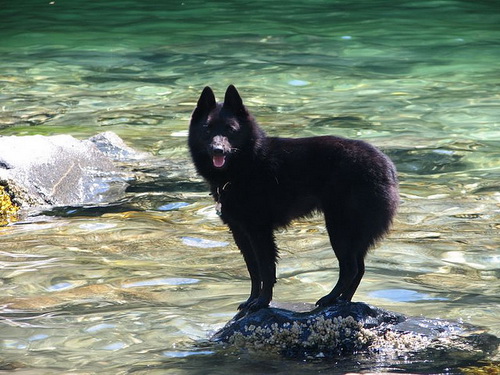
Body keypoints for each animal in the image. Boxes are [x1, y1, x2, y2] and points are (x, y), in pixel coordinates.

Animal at [188, 86, 398, 312]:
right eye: (207, 130)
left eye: (230, 129)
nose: (218, 150)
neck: (247, 165)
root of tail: (387, 166)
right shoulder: (240, 232)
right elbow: (253, 271)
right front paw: (251, 300)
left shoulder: (260, 232)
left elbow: (266, 270)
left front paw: (262, 302)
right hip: (353, 234)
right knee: (359, 268)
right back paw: (343, 301)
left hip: (339, 229)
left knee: (350, 269)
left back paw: (329, 299)